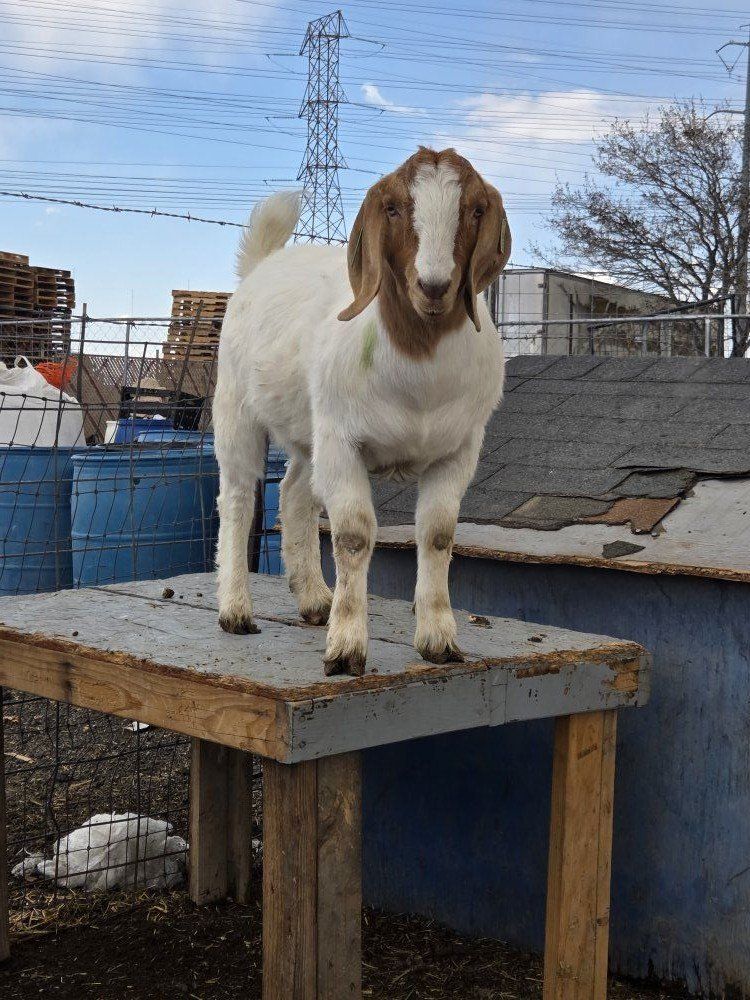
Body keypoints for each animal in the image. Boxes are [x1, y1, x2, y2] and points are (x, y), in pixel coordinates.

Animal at [213, 147, 511, 676]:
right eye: (392, 208)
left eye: (476, 209)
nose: (433, 286)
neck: (419, 365)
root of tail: (261, 266)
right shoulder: (342, 441)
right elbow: (352, 535)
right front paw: (347, 648)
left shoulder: (458, 451)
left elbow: (438, 534)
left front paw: (439, 640)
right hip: (236, 409)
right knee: (238, 498)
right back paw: (236, 611)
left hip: (308, 431)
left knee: (294, 493)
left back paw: (314, 599)